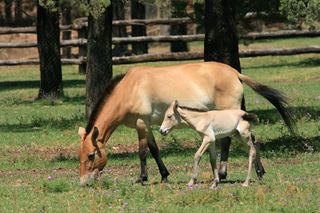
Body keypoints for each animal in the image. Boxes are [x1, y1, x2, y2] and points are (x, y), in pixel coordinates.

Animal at [78, 60, 296, 186]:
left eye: (91, 155)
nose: (83, 182)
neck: (130, 88)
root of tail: (235, 73)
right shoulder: (148, 126)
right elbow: (154, 149)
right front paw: (164, 175)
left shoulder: (141, 123)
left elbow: (142, 152)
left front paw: (142, 178)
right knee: (253, 140)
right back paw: (258, 172)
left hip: (230, 115)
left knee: (232, 141)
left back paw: (226, 173)